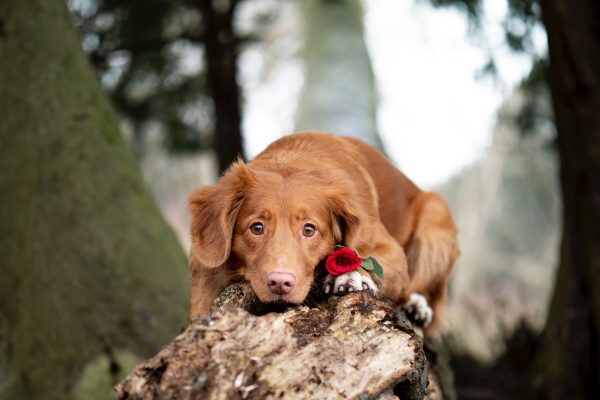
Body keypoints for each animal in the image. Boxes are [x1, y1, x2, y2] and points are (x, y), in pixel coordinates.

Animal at [188, 131, 460, 328]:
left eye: (309, 230)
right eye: (257, 228)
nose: (280, 283)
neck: (293, 160)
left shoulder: (390, 249)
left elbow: (365, 258)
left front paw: (350, 275)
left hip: (435, 217)